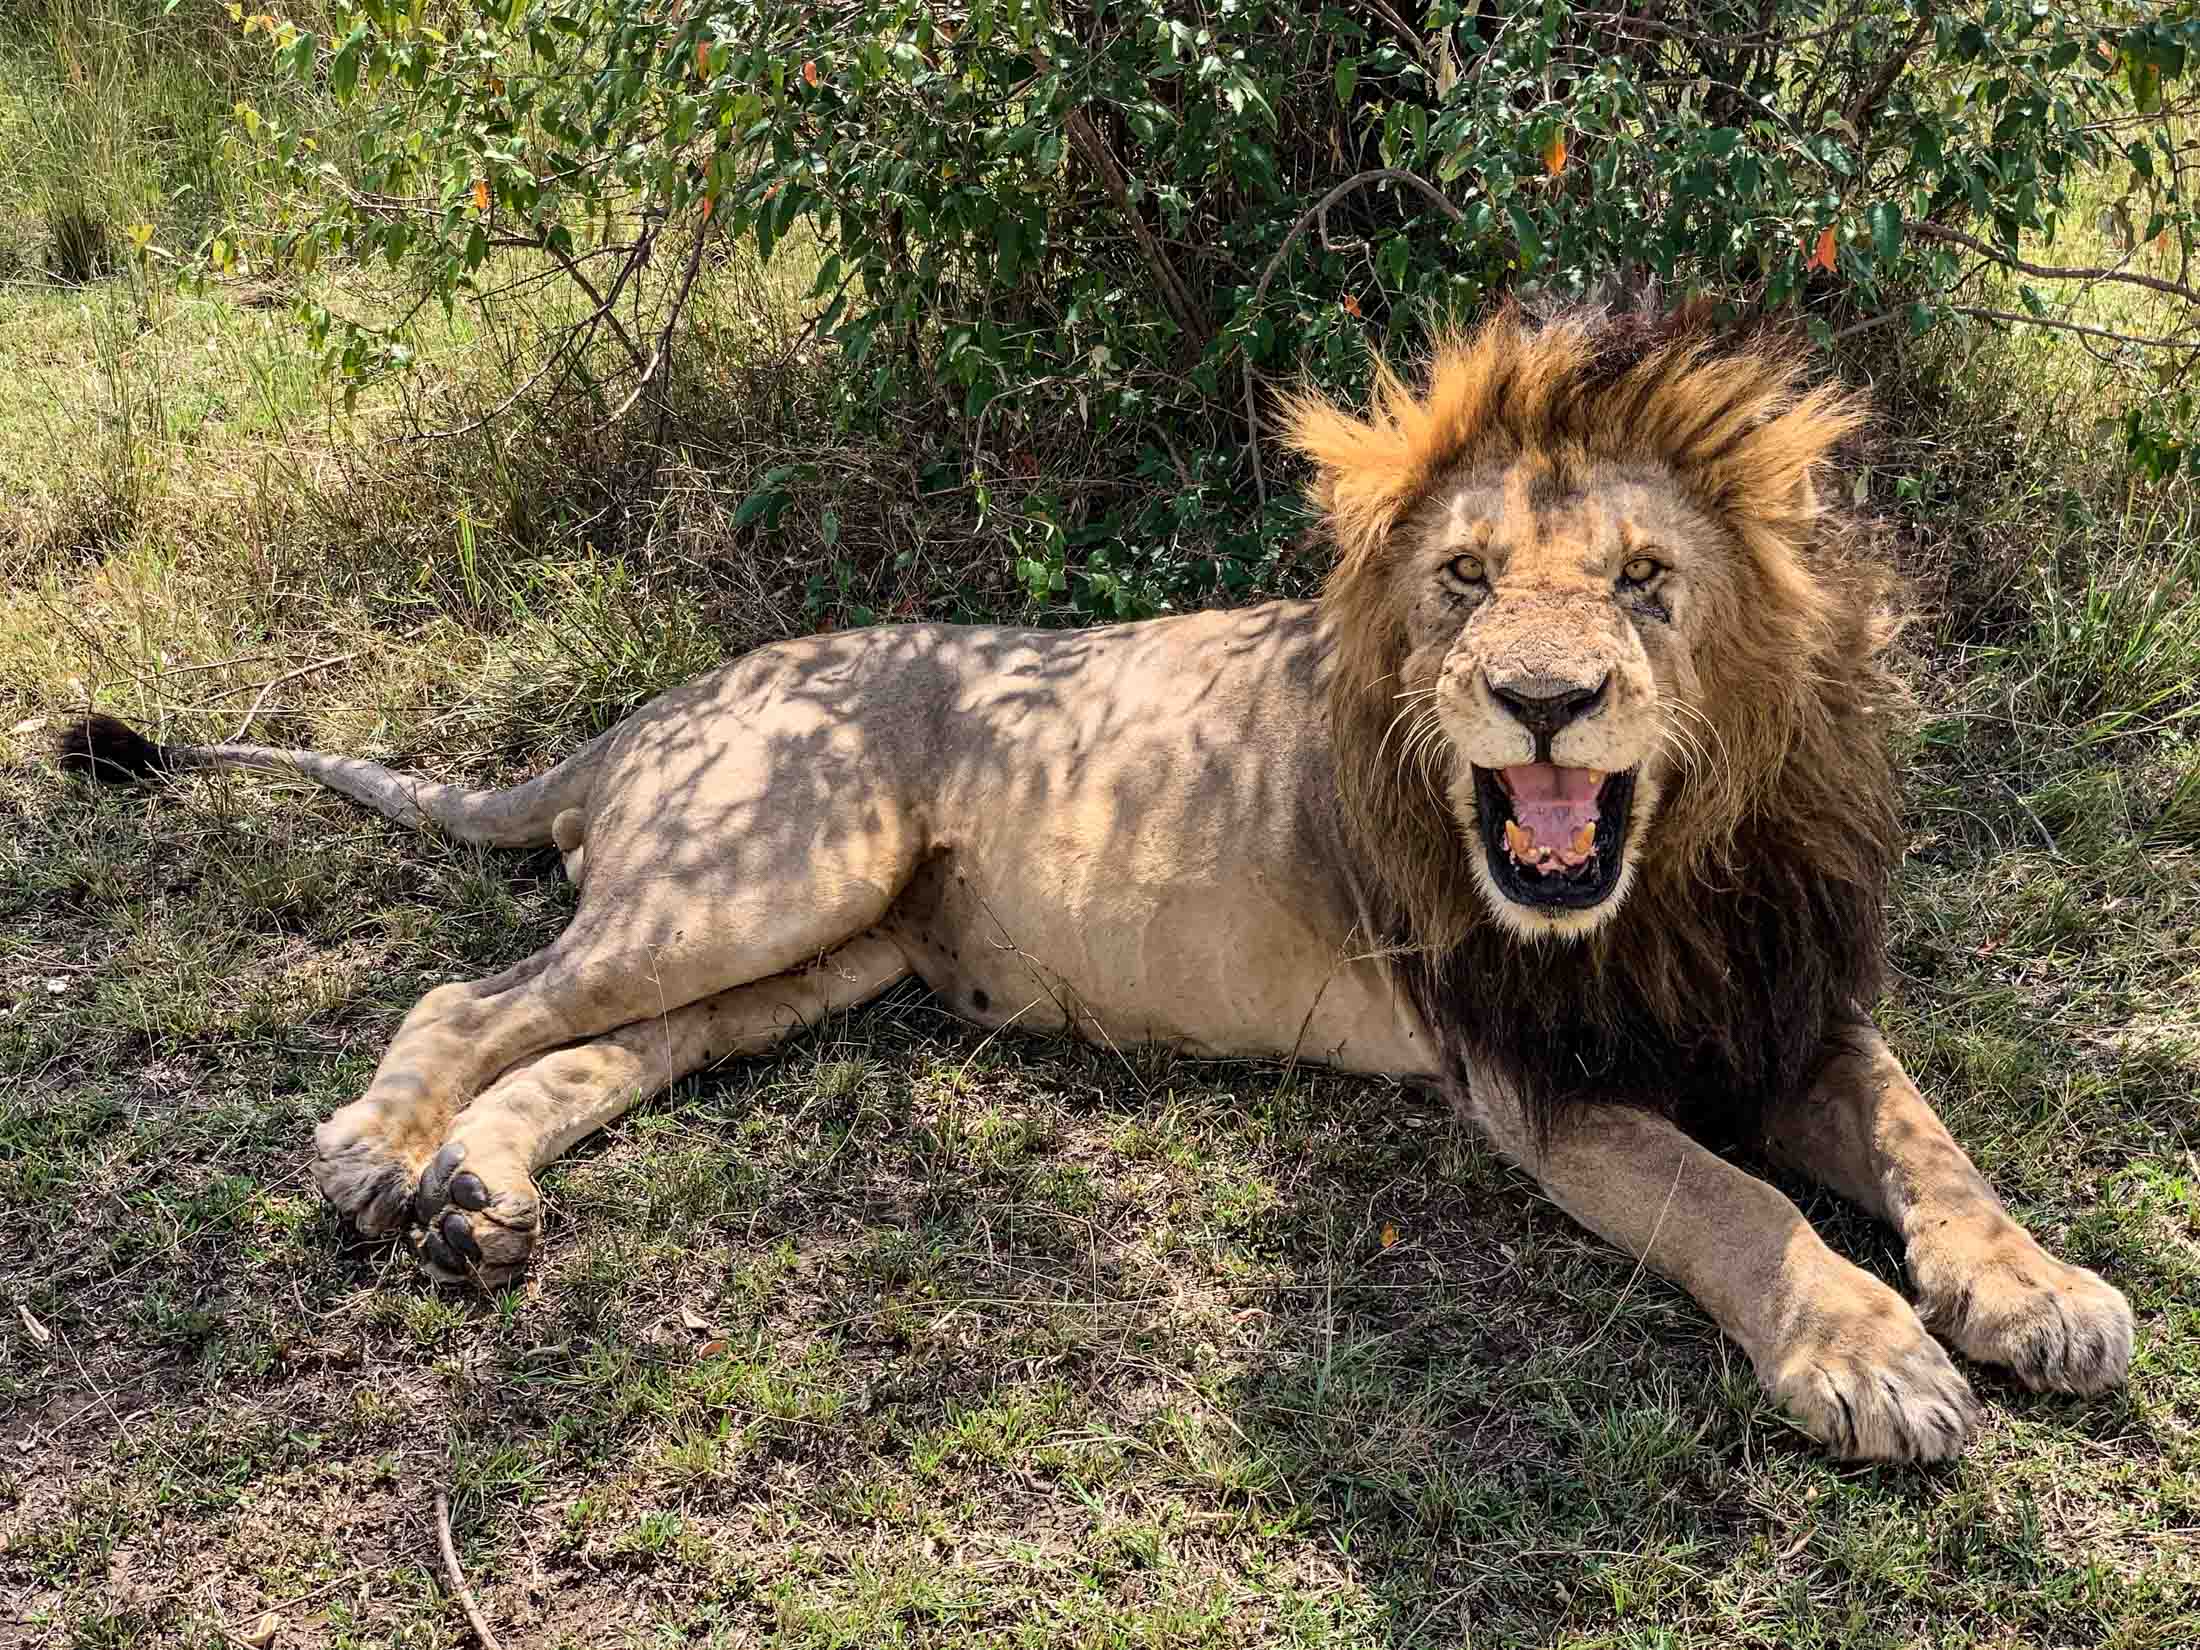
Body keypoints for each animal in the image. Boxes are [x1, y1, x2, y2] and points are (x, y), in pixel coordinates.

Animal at [59, 297, 2132, 1461]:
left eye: (1644, 582)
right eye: (1464, 580)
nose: (1544, 701)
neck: (1674, 874)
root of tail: (662, 699)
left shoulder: (1791, 1000)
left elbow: (1931, 1141)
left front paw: (2037, 1292)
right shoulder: (1531, 1072)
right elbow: (1736, 1203)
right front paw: (1868, 1356)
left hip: (817, 957)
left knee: (576, 1058)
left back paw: (475, 1204)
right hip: (770, 870)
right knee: (468, 1000)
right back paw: (375, 1159)